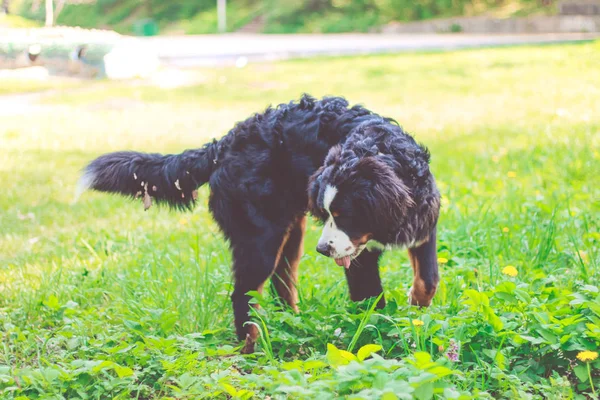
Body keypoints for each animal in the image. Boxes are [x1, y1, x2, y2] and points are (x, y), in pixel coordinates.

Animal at [78, 94, 440, 354]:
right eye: (327, 214)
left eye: (344, 215)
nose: (323, 250)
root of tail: (224, 143)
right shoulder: (359, 259)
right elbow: (372, 304)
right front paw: (379, 340)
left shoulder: (424, 223)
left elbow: (429, 280)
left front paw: (416, 310)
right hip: (260, 239)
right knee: (243, 295)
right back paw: (252, 346)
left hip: (290, 232)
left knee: (282, 284)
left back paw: (292, 326)